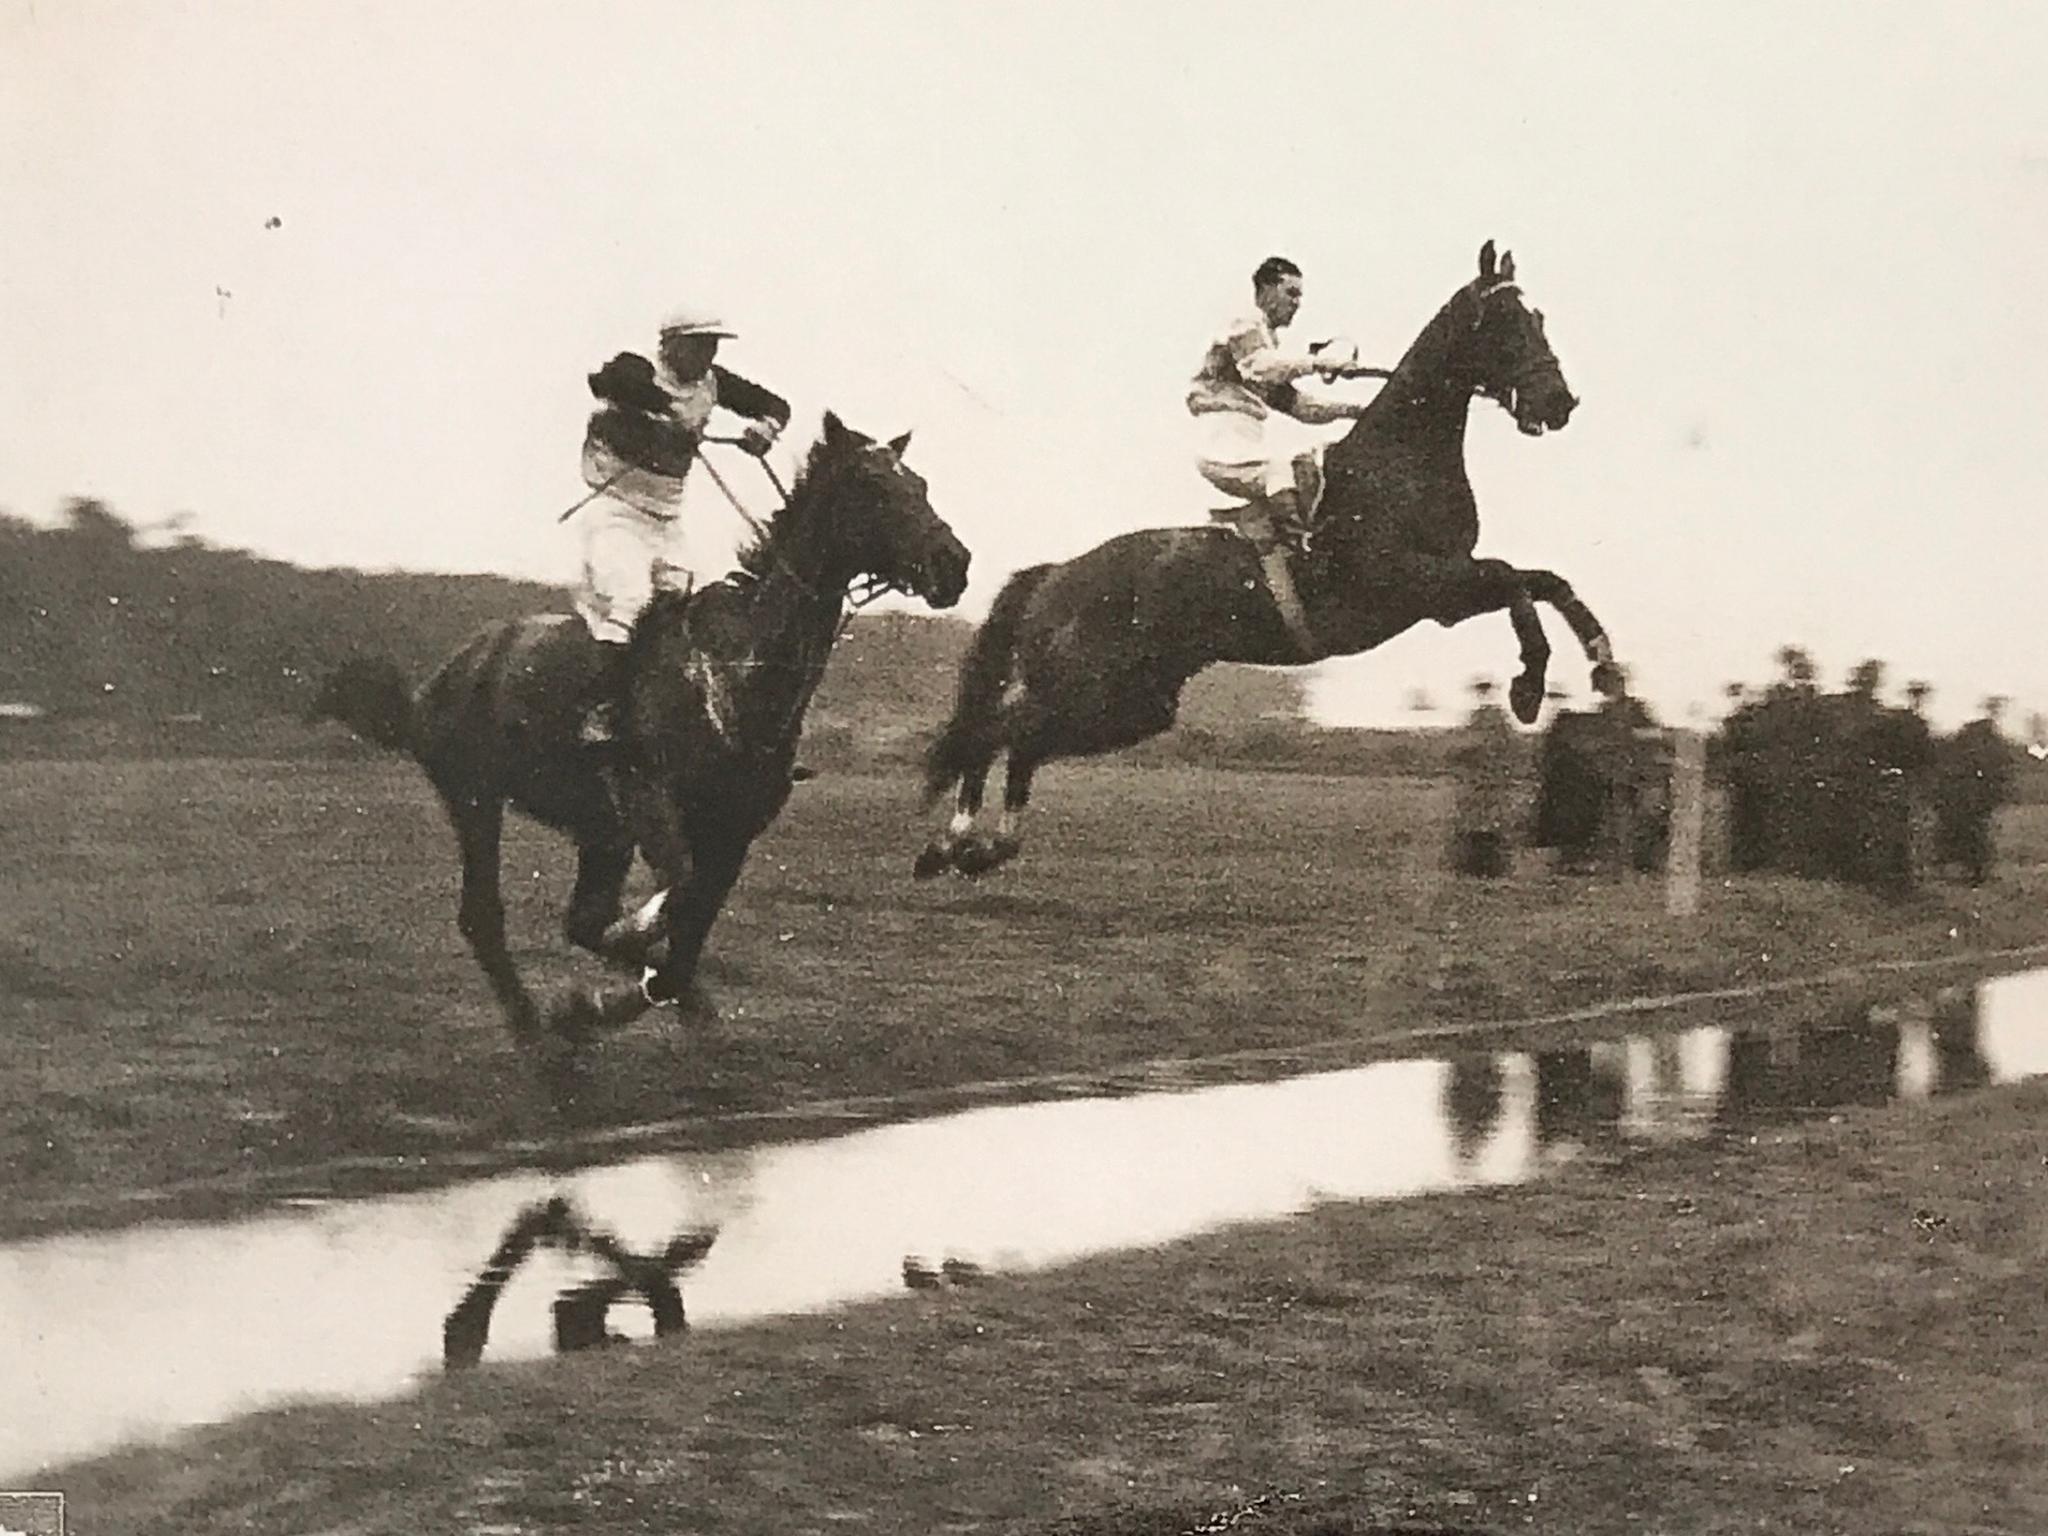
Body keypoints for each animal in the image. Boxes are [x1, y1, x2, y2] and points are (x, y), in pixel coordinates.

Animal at [309, 415, 966, 1056]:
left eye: (921, 484)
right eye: (874, 487)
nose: (955, 564)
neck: (737, 670)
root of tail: (436, 682)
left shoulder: (732, 835)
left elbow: (683, 936)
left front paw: (604, 1007)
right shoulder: (653, 806)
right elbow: (675, 900)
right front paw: (613, 976)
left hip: (599, 830)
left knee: (581, 919)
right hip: (476, 800)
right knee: (485, 916)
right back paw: (532, 1030)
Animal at [925, 237, 1613, 876]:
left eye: (1539, 317)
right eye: (1506, 323)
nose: (1560, 402)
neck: (1398, 466)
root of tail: (1056, 575)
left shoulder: (1446, 594)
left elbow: (1546, 580)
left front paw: (1602, 663)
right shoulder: (1415, 585)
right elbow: (1514, 581)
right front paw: (1529, 687)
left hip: (1134, 703)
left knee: (1021, 740)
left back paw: (982, 846)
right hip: (1088, 682)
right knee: (994, 731)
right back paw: (949, 842)